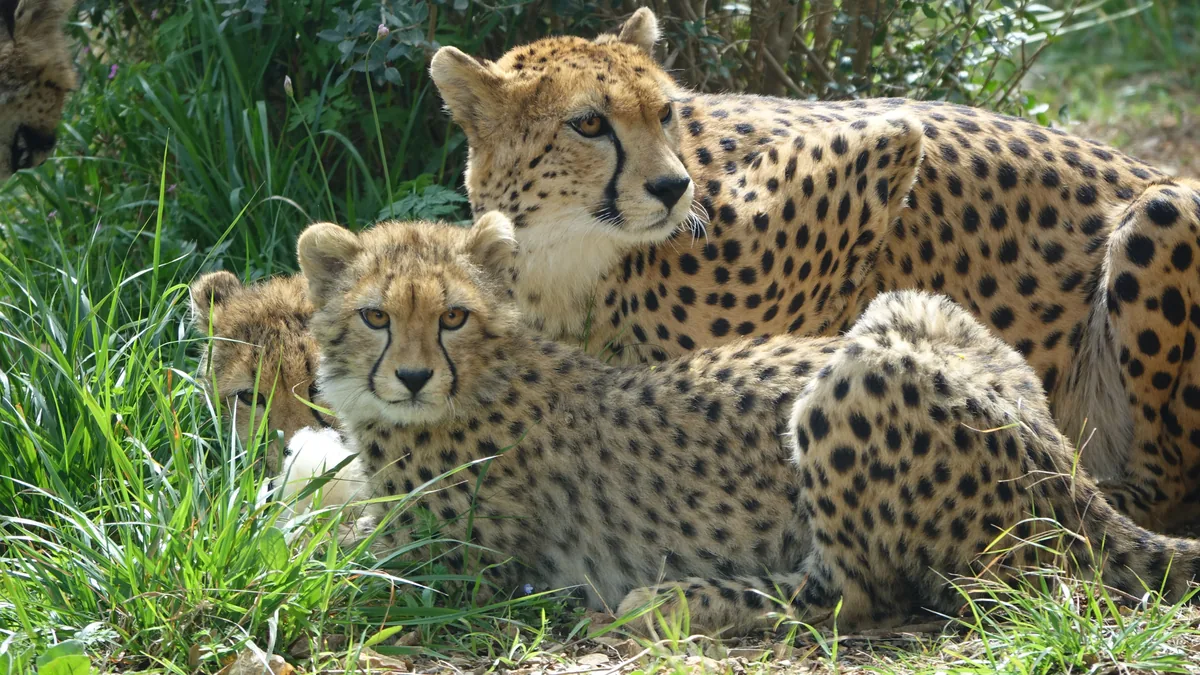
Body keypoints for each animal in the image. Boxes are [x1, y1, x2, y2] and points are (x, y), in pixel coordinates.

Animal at [295, 210, 1200, 637]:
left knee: (855, 597)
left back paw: (672, 598)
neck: (493, 363)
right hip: (902, 310)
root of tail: (1068, 468)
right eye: (376, 316)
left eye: (452, 316)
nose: (413, 376)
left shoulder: (448, 566)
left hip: (851, 384)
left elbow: (341, 566)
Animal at [429, 8, 1200, 532]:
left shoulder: (881, 143)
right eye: (589, 123)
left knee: (1168, 484)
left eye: (666, 111)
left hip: (1164, 212)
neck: (576, 255)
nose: (674, 188)